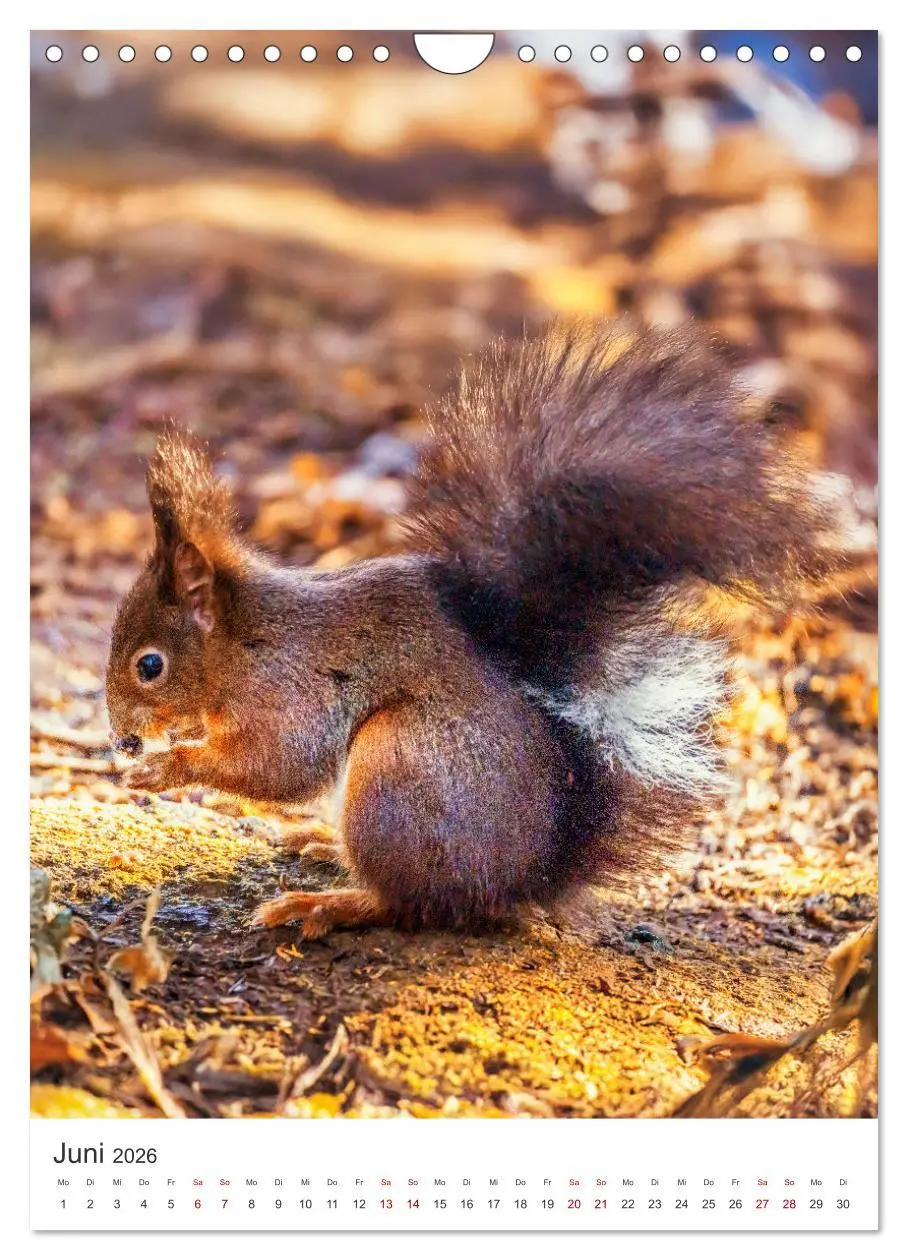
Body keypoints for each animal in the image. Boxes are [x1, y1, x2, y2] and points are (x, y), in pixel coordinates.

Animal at [106, 321, 837, 939]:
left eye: (150, 664)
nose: (119, 740)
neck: (243, 643)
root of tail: (527, 877)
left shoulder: (289, 690)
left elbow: (281, 764)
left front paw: (166, 767)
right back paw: (324, 844)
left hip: (404, 766)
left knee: (410, 902)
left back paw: (330, 902)